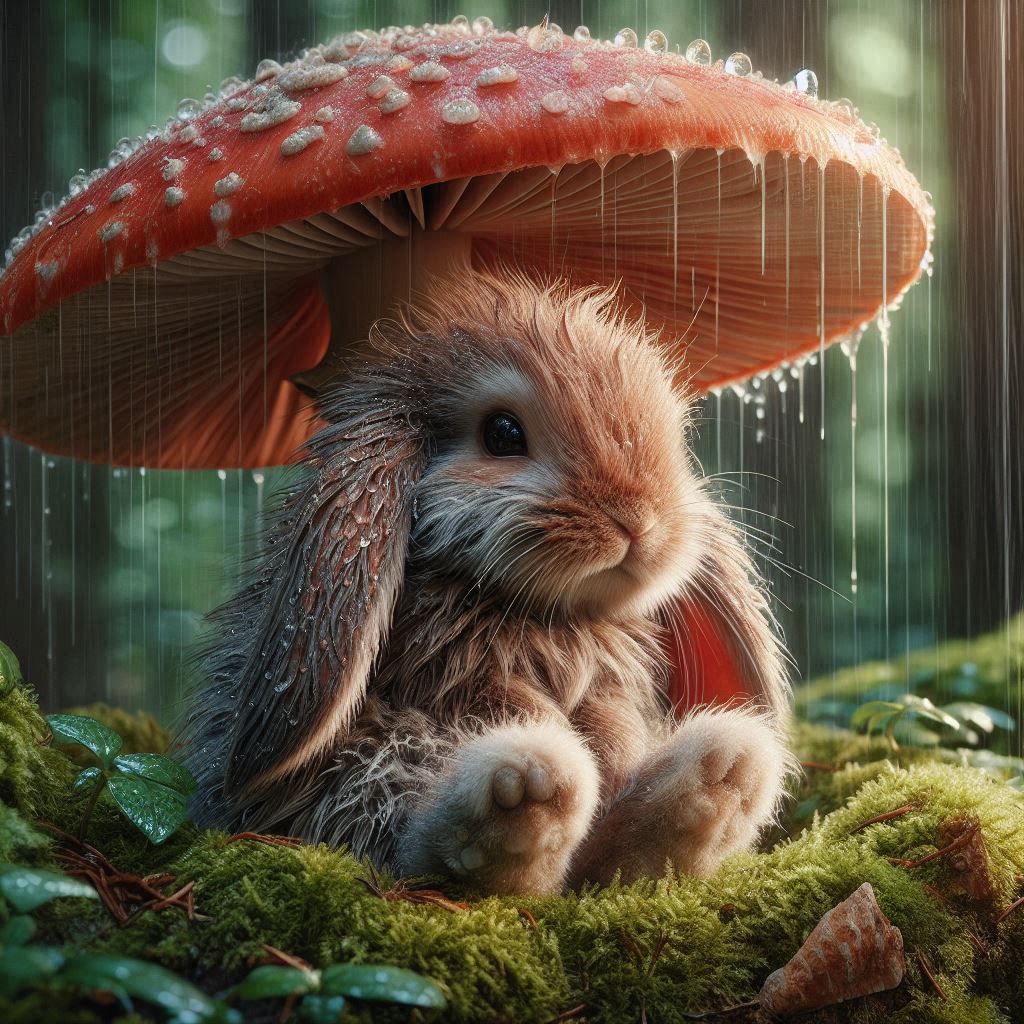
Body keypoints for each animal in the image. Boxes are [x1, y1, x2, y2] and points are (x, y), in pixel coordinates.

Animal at [182, 269, 793, 896]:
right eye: (502, 433)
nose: (639, 519)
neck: (550, 614)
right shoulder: (459, 678)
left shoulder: (607, 692)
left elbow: (613, 732)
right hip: (366, 770)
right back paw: (526, 795)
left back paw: (716, 780)